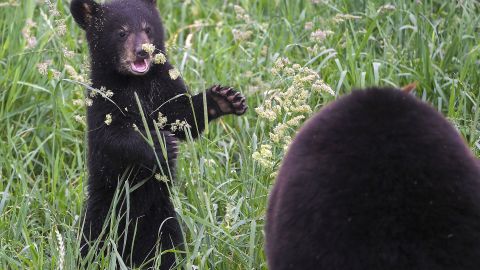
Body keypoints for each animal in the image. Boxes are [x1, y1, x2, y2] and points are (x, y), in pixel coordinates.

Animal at [71, 0, 248, 266]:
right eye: (122, 32)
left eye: (148, 29)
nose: (143, 51)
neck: (136, 83)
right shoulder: (102, 99)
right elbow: (112, 137)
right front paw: (160, 144)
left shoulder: (165, 86)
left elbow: (184, 118)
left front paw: (224, 99)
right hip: (102, 210)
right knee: (92, 243)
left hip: (164, 219)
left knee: (168, 247)